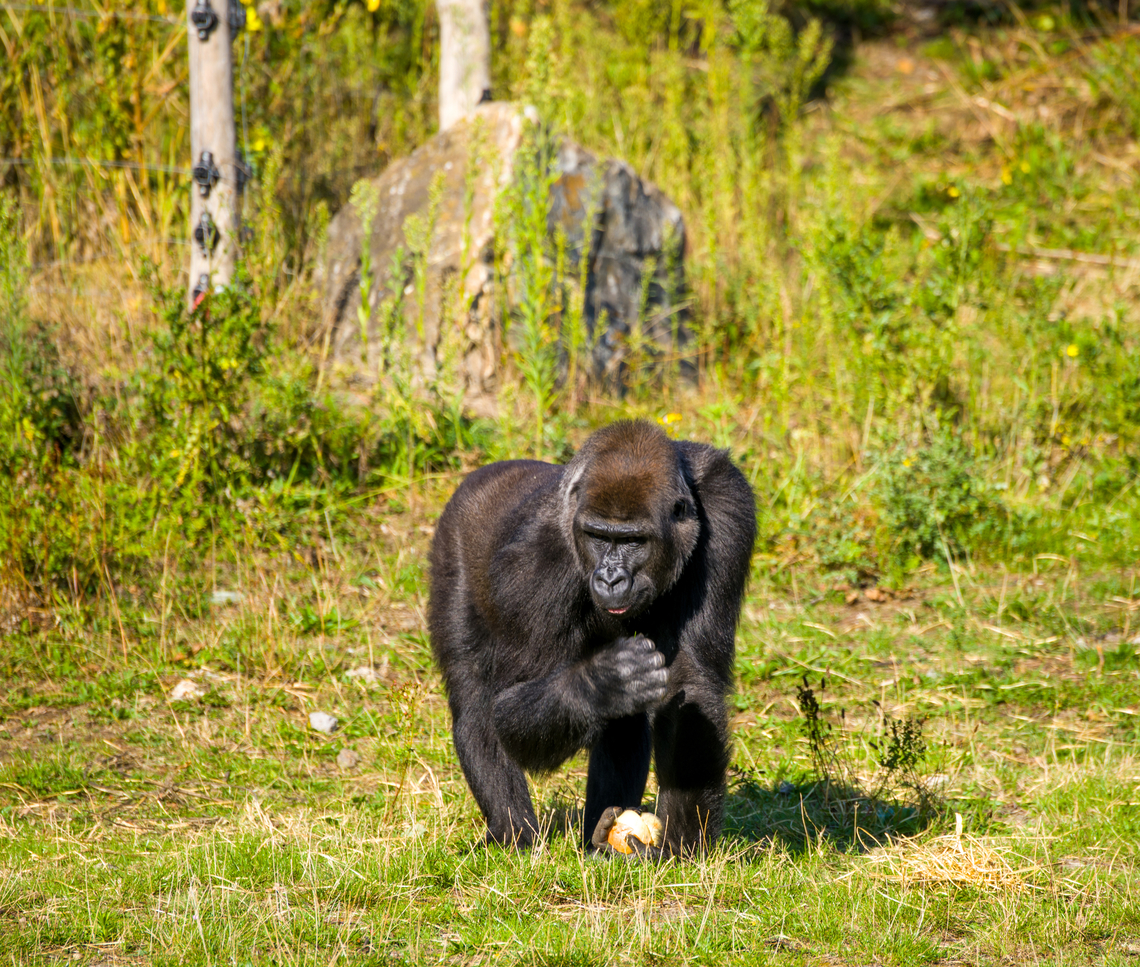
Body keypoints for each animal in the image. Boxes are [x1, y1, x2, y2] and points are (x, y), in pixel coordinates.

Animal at [427, 420, 756, 856]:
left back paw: (597, 841)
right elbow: (508, 708)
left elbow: (691, 680)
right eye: (598, 536)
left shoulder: (727, 505)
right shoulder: (535, 563)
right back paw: (513, 833)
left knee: (624, 722)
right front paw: (600, 683)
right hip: (452, 543)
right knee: (474, 703)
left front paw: (679, 844)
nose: (610, 579)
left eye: (633, 541)